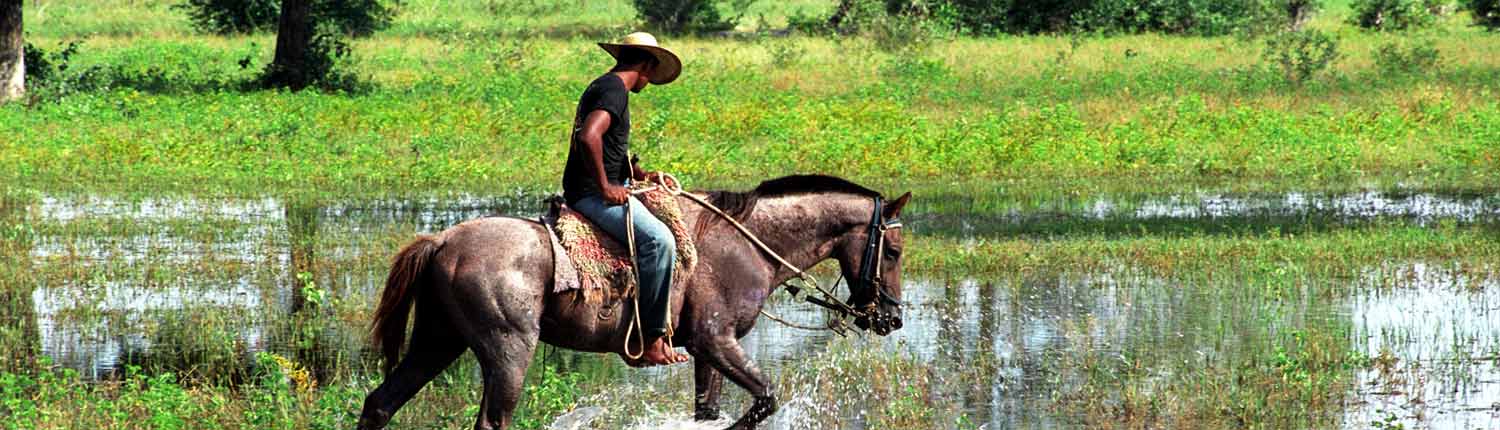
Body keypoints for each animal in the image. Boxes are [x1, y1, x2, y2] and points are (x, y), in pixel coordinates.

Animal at [355, 176, 906, 430]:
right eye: (895, 250)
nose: (893, 319)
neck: (746, 243)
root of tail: (443, 239)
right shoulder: (717, 341)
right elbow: (764, 400)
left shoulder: (706, 352)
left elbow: (708, 411)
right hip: (507, 350)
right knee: (491, 421)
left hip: (437, 340)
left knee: (380, 403)